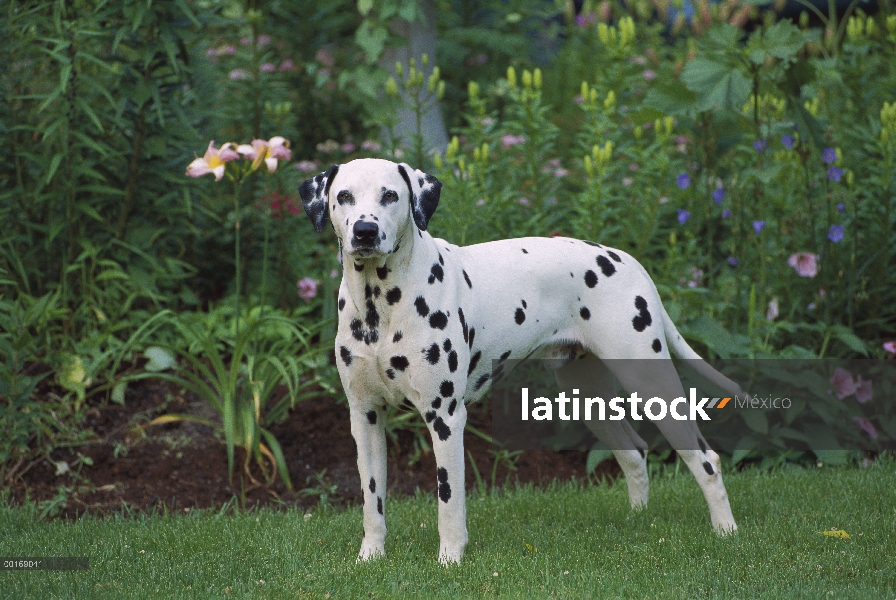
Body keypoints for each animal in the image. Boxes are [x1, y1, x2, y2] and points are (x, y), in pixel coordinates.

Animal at [300, 157, 744, 564]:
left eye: (390, 195)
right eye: (345, 196)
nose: (365, 231)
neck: (382, 305)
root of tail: (628, 262)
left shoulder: (445, 418)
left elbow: (449, 501)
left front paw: (450, 560)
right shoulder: (365, 416)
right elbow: (372, 500)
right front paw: (371, 556)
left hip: (653, 387)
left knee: (705, 460)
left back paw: (726, 531)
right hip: (589, 400)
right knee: (634, 452)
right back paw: (638, 520)